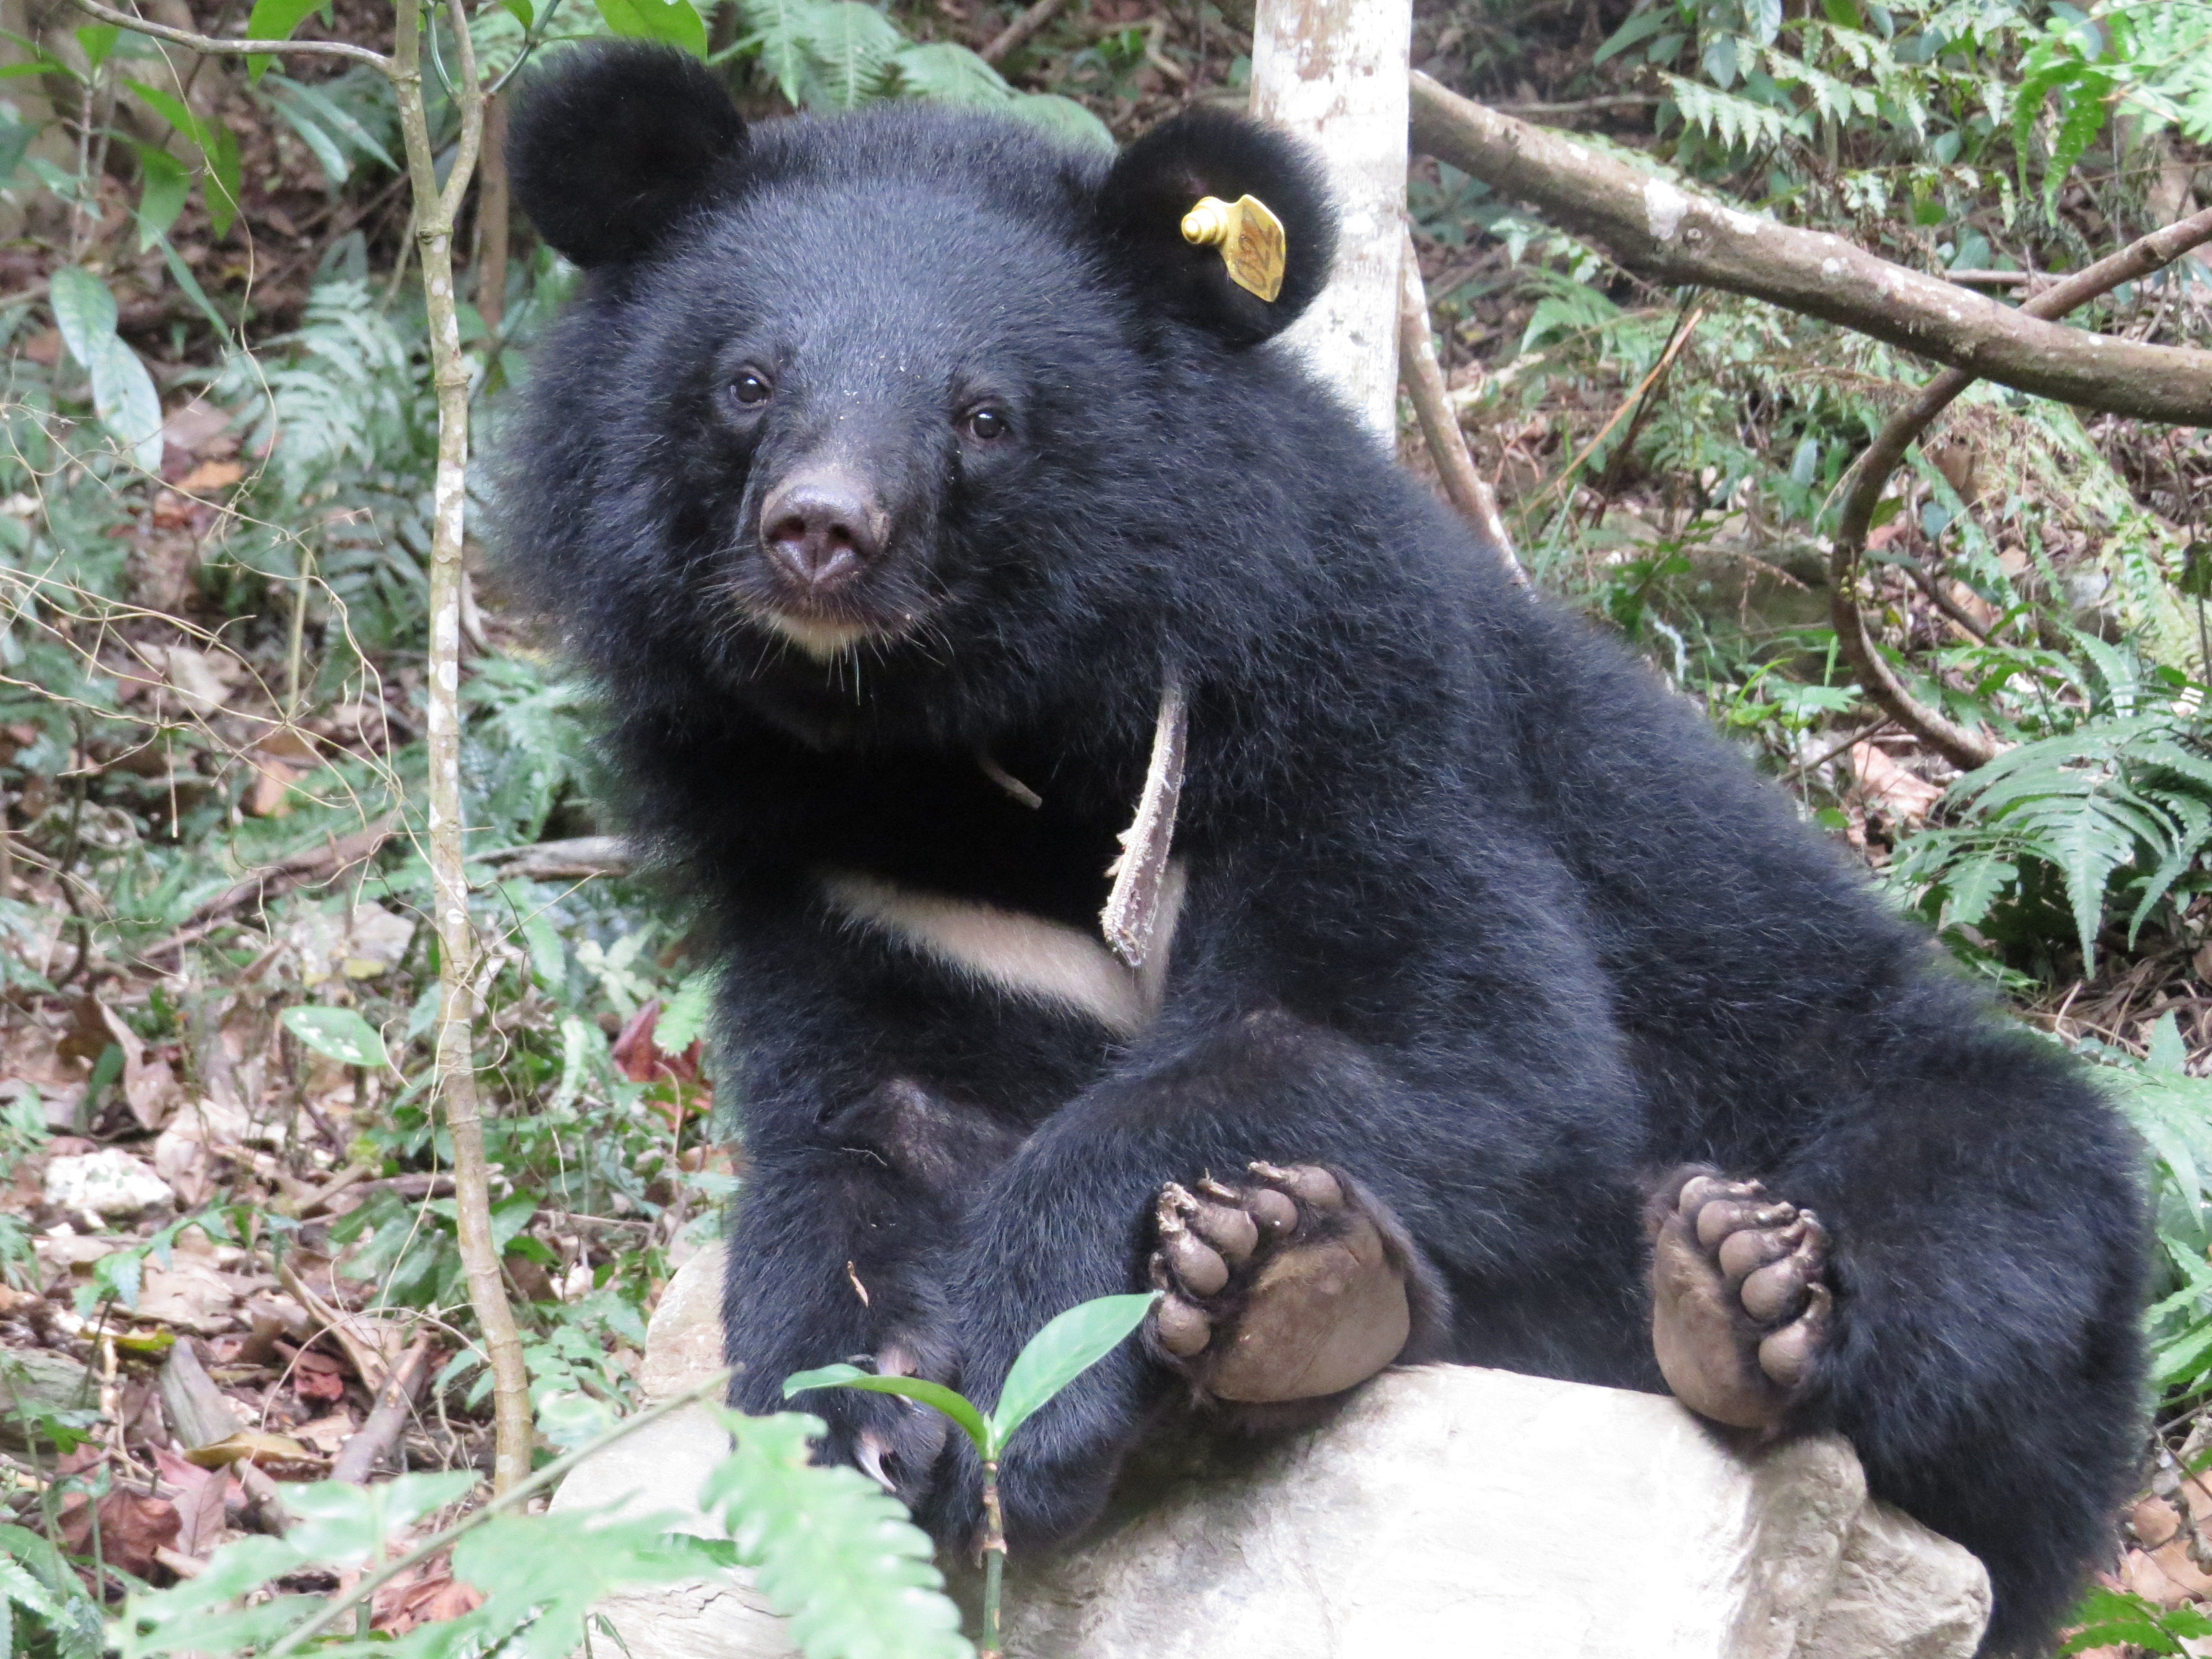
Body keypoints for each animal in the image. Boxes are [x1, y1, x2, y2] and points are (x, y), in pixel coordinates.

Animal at [502, 45, 2141, 1655]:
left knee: (1978, 1225)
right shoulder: (862, 885)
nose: (822, 536)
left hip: (1934, 1142)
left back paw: (1712, 1297)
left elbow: (1449, 1048)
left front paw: (1028, 1376)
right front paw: (864, 1426)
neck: (964, 744)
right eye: (747, 382)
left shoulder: (1349, 731)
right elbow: (866, 1130)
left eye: (983, 416)